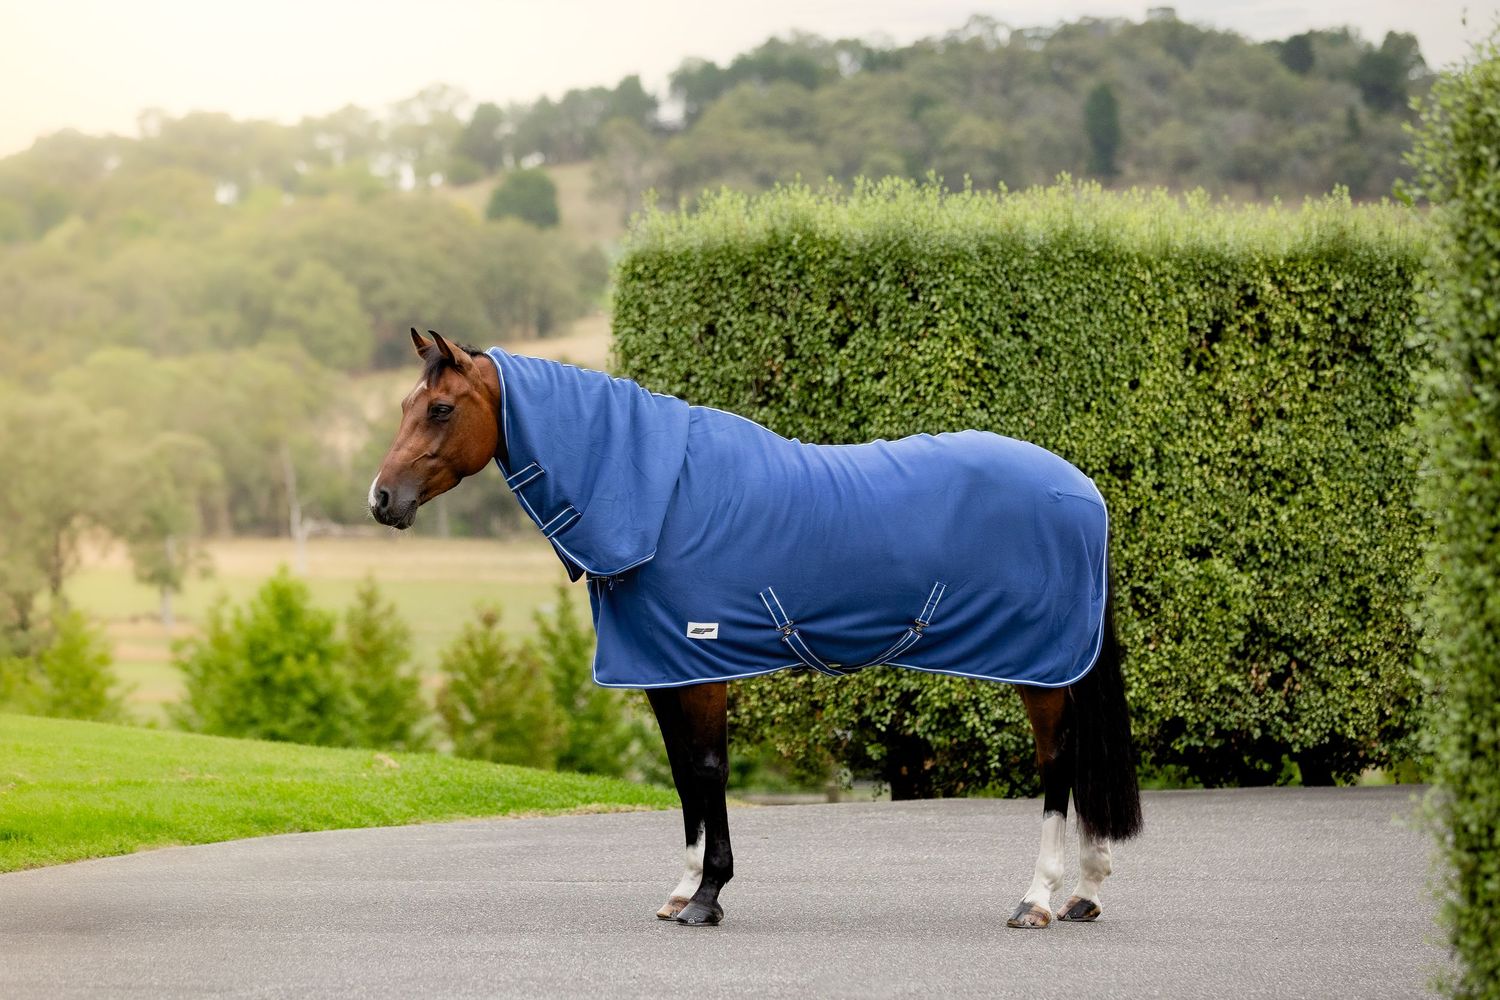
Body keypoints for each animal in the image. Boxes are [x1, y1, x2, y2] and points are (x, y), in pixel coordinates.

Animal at [370, 329, 1143, 928]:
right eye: (407, 404)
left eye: (440, 408)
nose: (381, 500)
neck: (663, 501)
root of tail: (1085, 489)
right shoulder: (662, 667)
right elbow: (684, 774)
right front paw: (681, 889)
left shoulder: (702, 664)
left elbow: (709, 769)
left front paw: (708, 896)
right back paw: (1085, 891)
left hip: (1040, 670)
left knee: (1057, 765)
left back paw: (1037, 898)